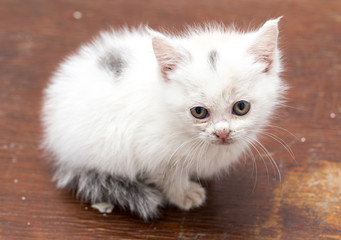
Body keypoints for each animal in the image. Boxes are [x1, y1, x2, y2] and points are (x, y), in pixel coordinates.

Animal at [40, 17, 284, 220]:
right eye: (199, 112)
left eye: (241, 107)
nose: (222, 132)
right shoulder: (150, 150)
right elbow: (169, 175)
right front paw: (184, 194)